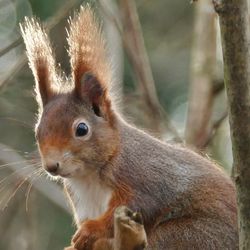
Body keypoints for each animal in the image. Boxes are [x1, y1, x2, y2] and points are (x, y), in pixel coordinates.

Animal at [20, 5, 237, 250]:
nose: (51, 166)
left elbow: (143, 203)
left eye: (82, 129)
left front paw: (90, 230)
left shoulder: (144, 175)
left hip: (191, 237)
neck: (88, 177)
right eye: (37, 132)